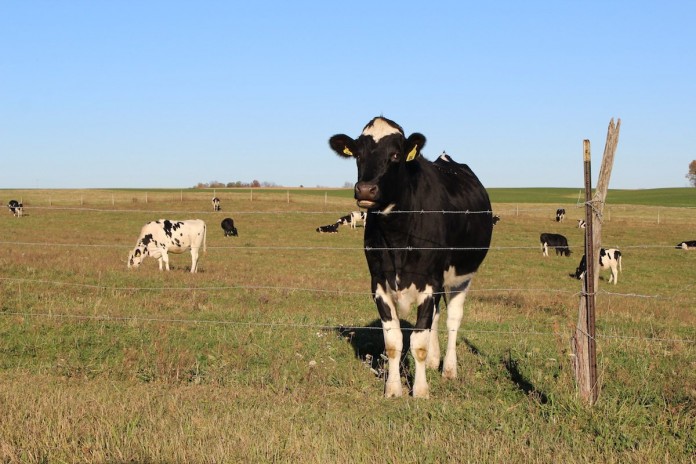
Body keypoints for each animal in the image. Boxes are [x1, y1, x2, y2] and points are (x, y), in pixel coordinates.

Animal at [329, 116, 493, 398]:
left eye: (395, 155)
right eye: (358, 155)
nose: (365, 189)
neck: (397, 234)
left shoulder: (430, 282)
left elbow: (418, 342)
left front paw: (421, 390)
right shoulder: (379, 283)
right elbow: (394, 341)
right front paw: (394, 389)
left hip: (462, 277)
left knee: (452, 320)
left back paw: (449, 369)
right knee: (436, 318)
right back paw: (436, 361)